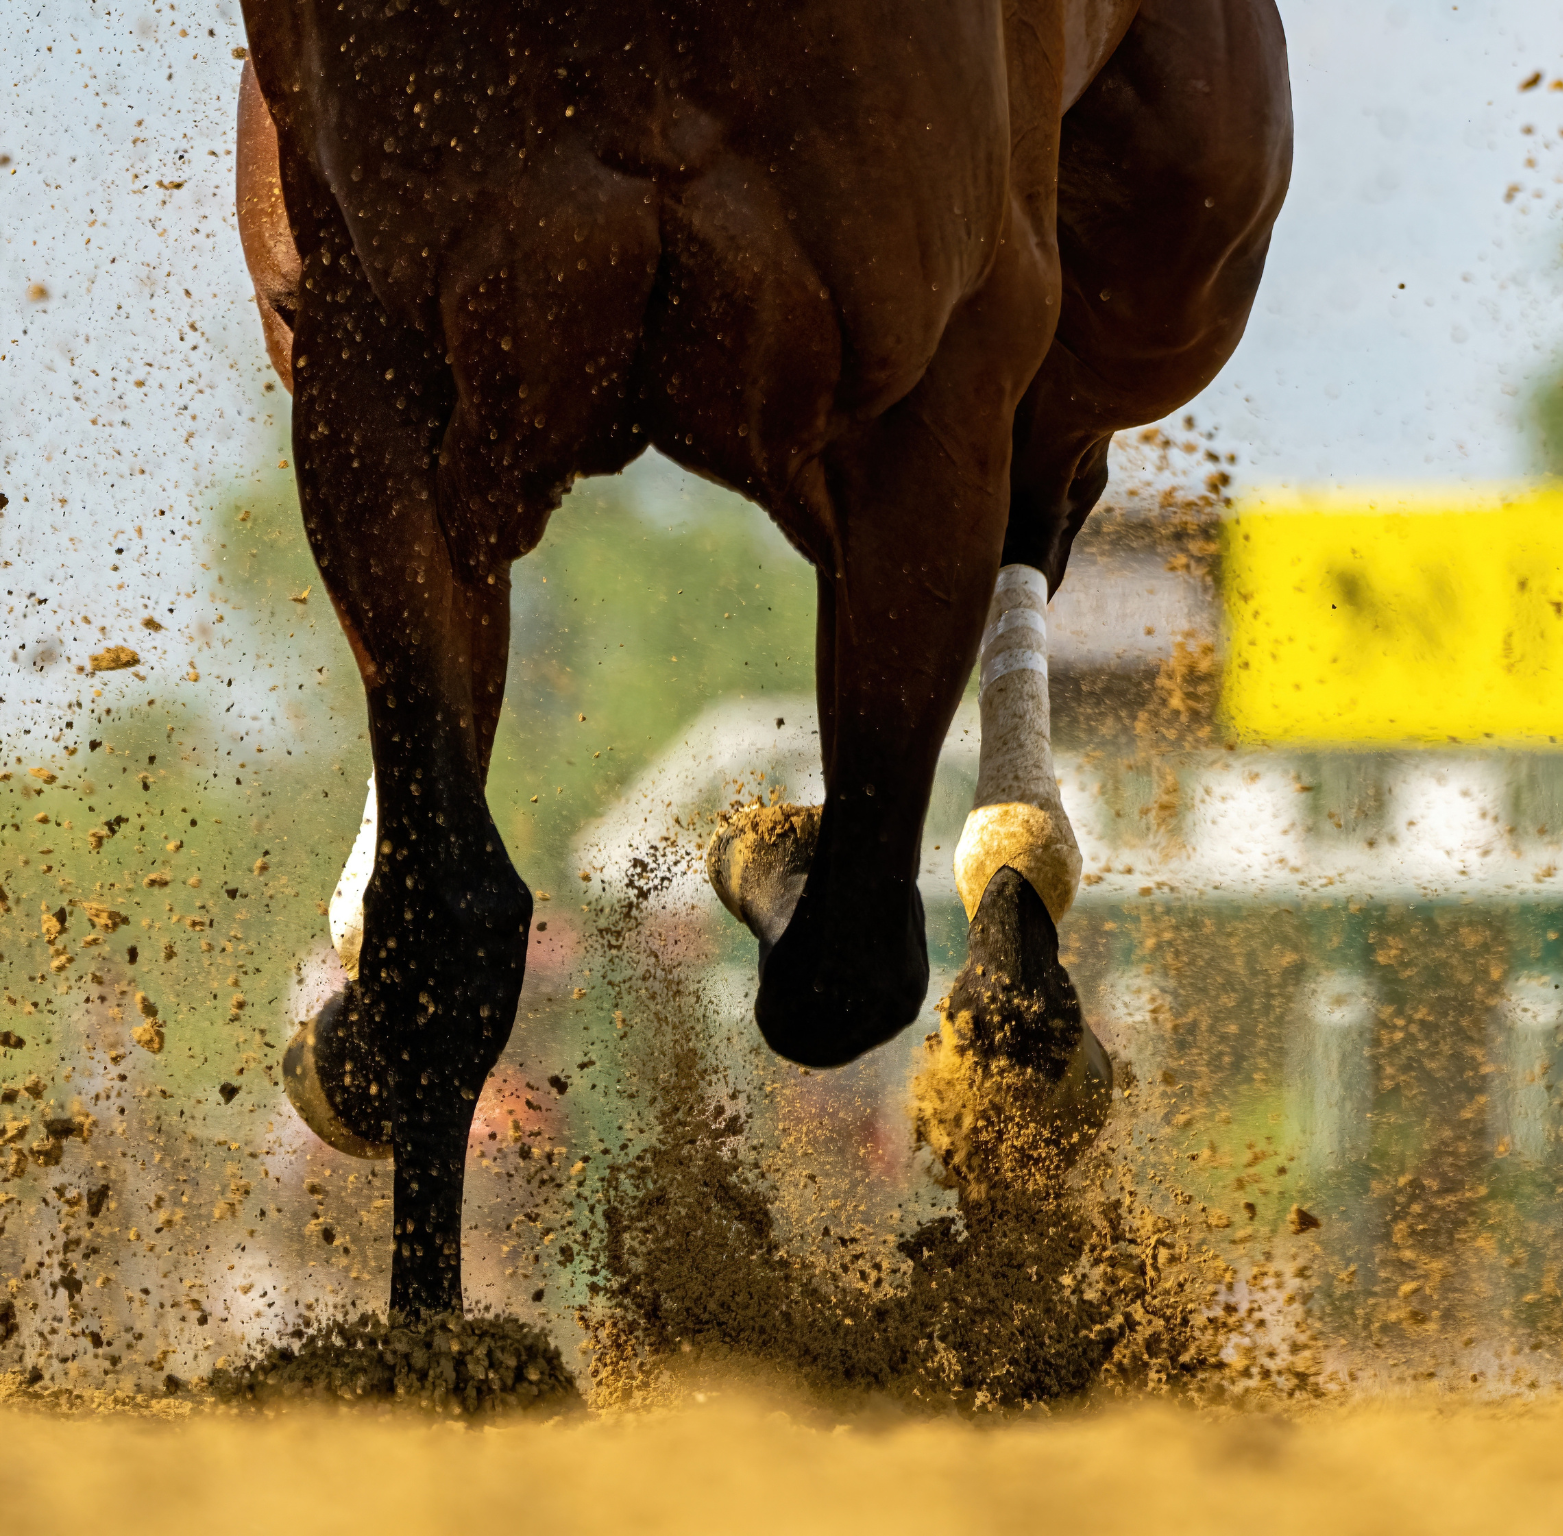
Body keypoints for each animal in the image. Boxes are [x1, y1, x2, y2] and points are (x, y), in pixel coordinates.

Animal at [234, 3, 1294, 1318]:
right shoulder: (373, 356)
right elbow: (449, 920)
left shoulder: (933, 389)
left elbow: (852, 959)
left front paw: (781, 856)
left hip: (1172, 249)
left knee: (1052, 483)